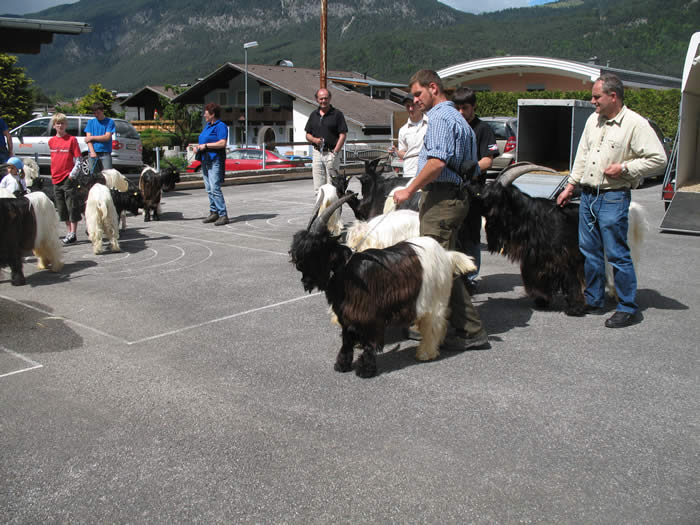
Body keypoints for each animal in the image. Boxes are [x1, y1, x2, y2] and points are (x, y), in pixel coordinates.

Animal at [288, 192, 476, 376]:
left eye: (316, 246)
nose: (302, 272)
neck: (348, 270)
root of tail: (446, 254)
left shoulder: (370, 315)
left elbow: (370, 343)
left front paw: (365, 370)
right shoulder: (347, 314)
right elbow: (347, 340)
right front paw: (342, 365)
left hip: (435, 298)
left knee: (435, 323)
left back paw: (426, 353)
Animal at [474, 162, 648, 314]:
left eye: (491, 194)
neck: (531, 219)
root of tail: (633, 209)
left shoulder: (566, 258)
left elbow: (571, 281)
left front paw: (575, 308)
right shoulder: (537, 262)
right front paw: (541, 300)